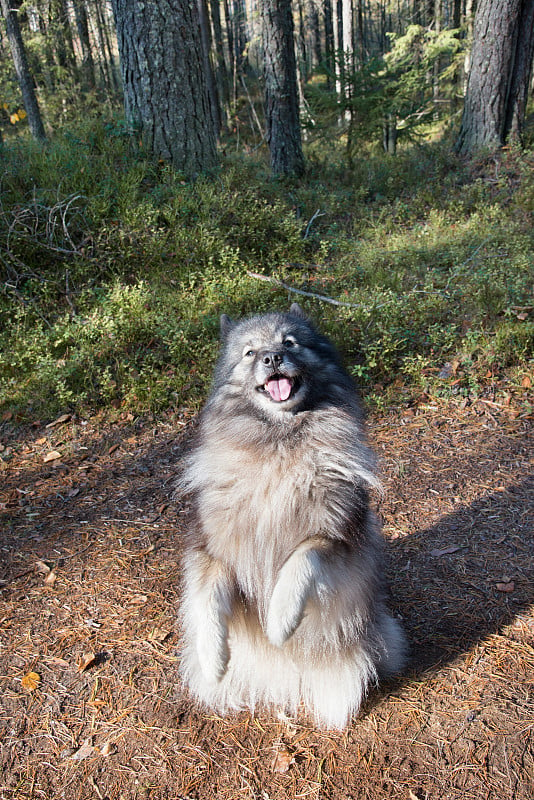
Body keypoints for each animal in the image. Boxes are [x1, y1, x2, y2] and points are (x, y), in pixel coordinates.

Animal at [179, 304, 406, 728]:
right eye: (250, 352)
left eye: (290, 342)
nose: (272, 358)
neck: (278, 447)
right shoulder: (212, 550)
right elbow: (208, 597)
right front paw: (213, 658)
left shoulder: (338, 538)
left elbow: (302, 559)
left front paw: (281, 620)